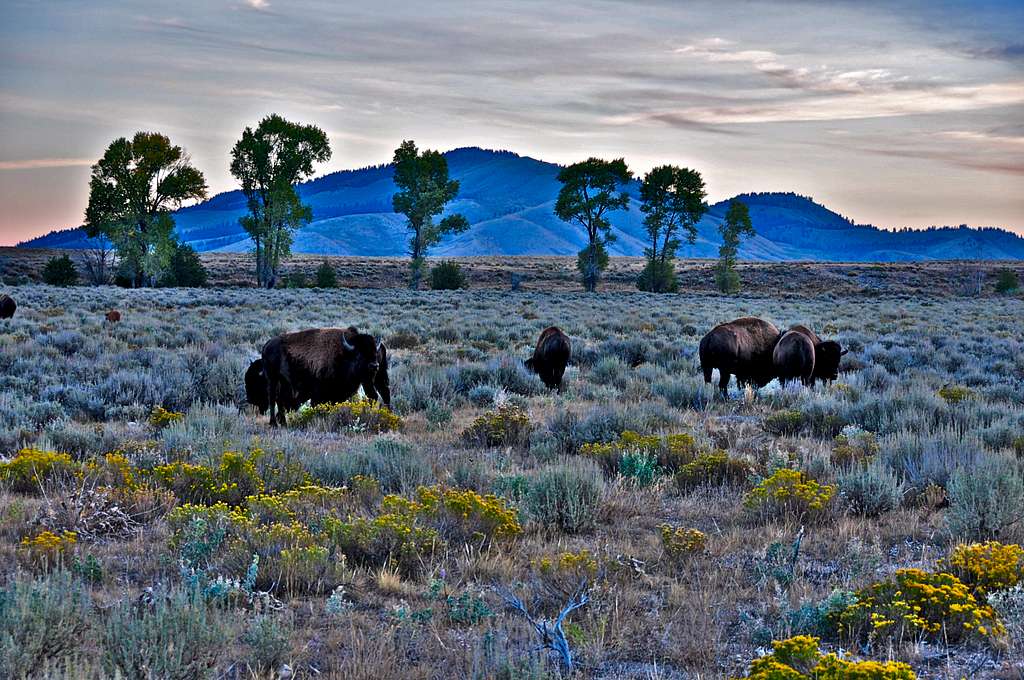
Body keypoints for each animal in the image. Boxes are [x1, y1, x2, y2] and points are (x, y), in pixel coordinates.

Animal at [260, 323, 391, 426]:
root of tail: (267, 345)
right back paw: (274, 423)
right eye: (359, 354)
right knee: (273, 398)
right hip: (272, 377)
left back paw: (282, 422)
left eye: (375, 352)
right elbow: (316, 405)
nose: (374, 366)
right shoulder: (319, 392)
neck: (344, 354)